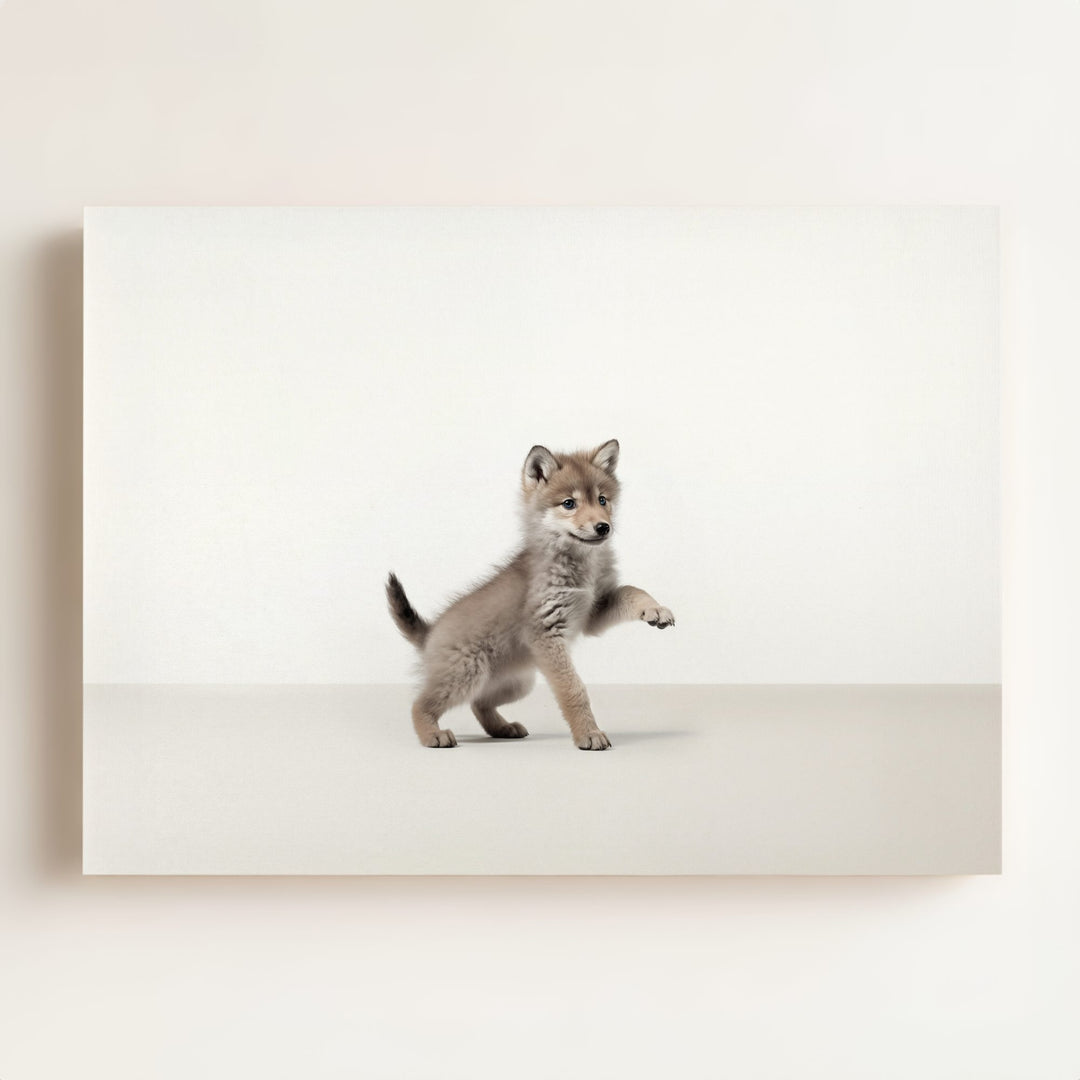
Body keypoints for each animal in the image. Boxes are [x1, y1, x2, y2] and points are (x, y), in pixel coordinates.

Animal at [385, 439, 675, 750]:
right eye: (569, 503)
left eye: (602, 500)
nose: (603, 527)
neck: (580, 565)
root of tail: (430, 633)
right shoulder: (547, 633)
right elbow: (574, 689)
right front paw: (588, 733)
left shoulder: (593, 612)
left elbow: (632, 590)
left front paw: (655, 609)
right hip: (467, 675)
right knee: (420, 704)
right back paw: (432, 734)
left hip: (517, 683)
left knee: (479, 703)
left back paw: (502, 728)